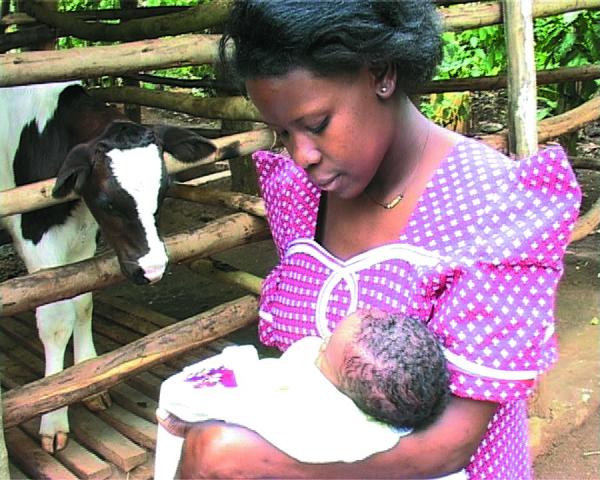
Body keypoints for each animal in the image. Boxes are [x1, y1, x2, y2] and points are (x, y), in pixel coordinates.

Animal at [0, 82, 216, 454]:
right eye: (108, 202)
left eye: (164, 190)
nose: (152, 268)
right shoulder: (36, 236)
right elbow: (56, 320)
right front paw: (53, 413)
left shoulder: (83, 234)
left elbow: (82, 301)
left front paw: (89, 374)